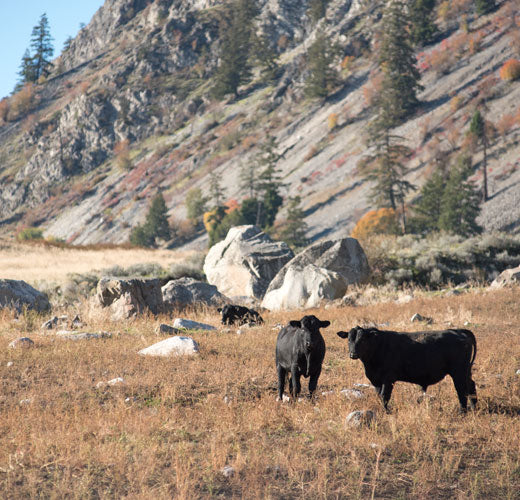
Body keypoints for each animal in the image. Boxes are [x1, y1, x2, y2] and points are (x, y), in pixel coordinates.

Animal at [336, 326, 478, 412]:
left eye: (363, 340)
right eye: (349, 339)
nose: (353, 354)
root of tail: (458, 331)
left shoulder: (388, 379)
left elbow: (384, 395)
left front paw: (388, 412)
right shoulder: (376, 380)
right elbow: (379, 395)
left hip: (459, 372)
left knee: (461, 390)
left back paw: (462, 411)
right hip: (466, 372)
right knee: (471, 386)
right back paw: (473, 407)